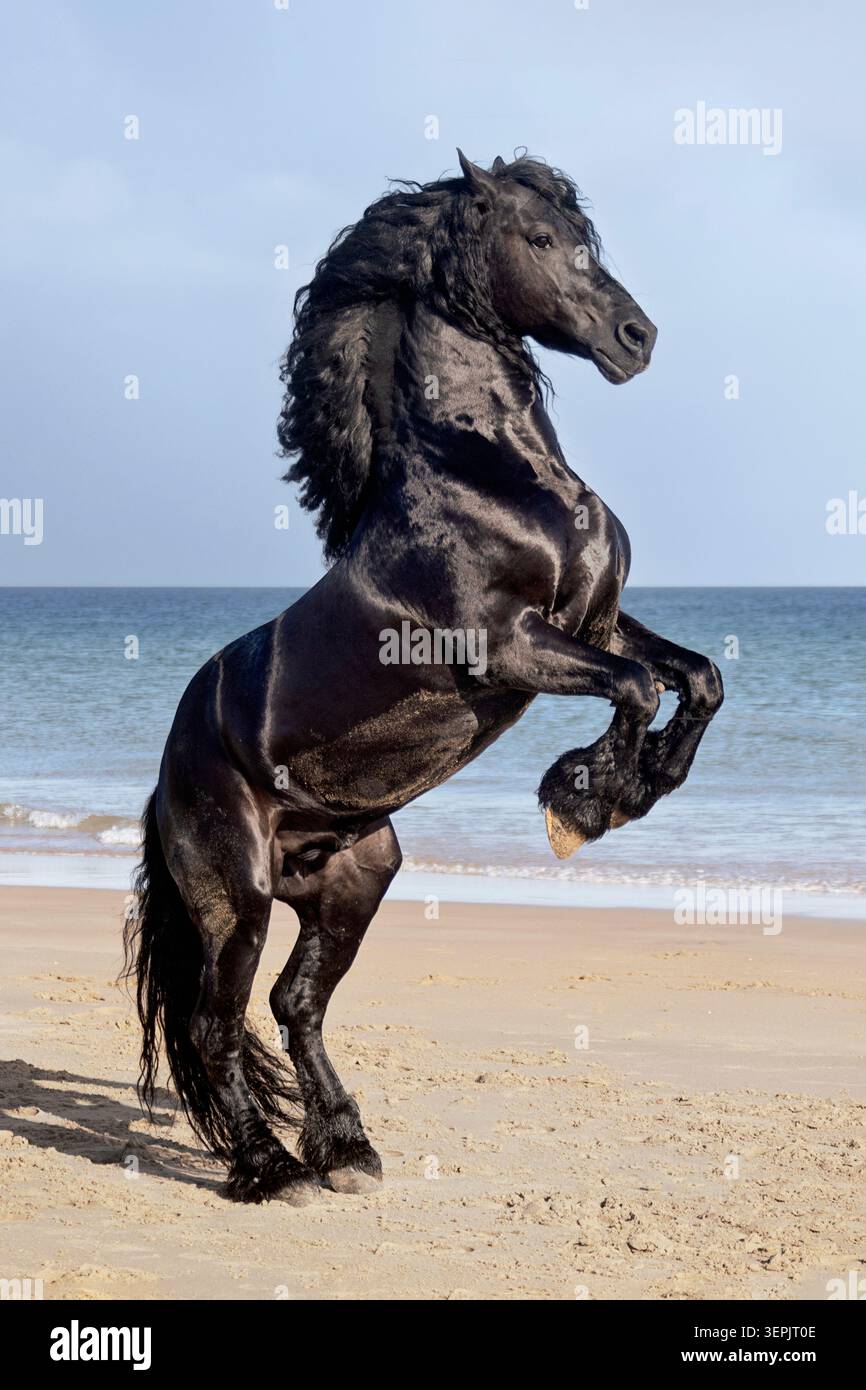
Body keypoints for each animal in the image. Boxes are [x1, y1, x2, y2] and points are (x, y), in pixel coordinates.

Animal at [124, 151, 723, 1204]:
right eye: (539, 238)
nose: (637, 337)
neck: (486, 473)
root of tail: (165, 779)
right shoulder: (511, 644)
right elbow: (636, 688)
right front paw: (584, 800)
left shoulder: (600, 622)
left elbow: (696, 679)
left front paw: (630, 788)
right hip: (235, 897)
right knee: (216, 1022)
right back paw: (271, 1170)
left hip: (357, 877)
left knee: (295, 1003)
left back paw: (348, 1150)